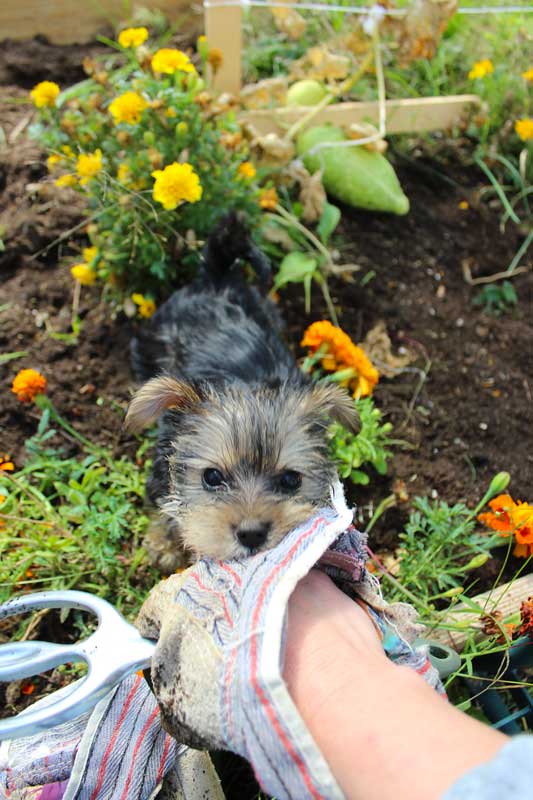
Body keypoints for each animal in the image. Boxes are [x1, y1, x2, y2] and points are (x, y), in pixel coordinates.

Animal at [125, 212, 358, 568]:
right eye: (211, 477)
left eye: (290, 480)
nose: (251, 534)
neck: (247, 386)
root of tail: (217, 277)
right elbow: (166, 501)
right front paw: (164, 546)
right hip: (153, 339)